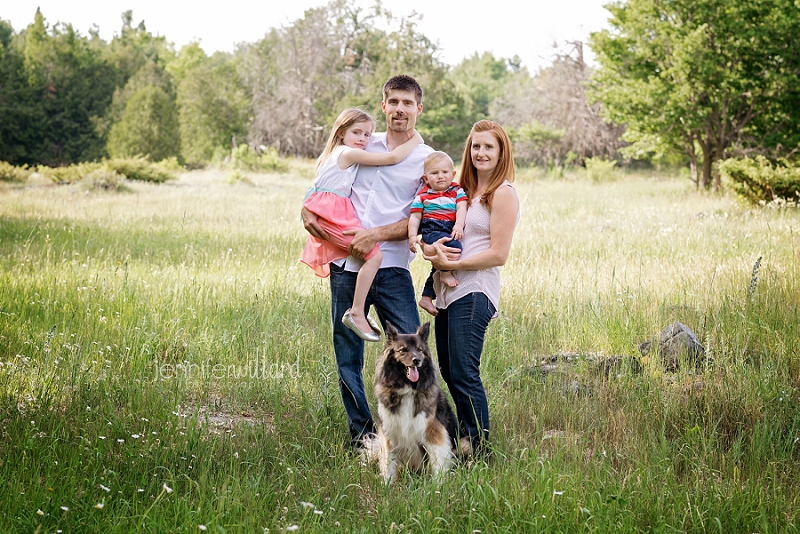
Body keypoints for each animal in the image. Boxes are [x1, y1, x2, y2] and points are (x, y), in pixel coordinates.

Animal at [374, 322, 460, 486]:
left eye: (420, 350)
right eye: (403, 350)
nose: (416, 360)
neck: (408, 389)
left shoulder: (433, 432)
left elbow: (438, 463)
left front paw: (437, 487)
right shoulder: (389, 433)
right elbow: (388, 463)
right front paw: (386, 486)